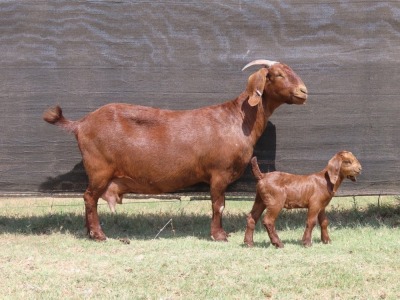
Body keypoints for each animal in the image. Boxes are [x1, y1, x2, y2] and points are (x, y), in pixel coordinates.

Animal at [42, 59, 308, 241]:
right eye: (277, 74)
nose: (303, 91)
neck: (237, 118)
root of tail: (81, 123)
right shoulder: (219, 173)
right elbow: (218, 205)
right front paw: (219, 235)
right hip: (99, 169)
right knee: (89, 197)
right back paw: (99, 235)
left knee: (90, 199)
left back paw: (89, 232)